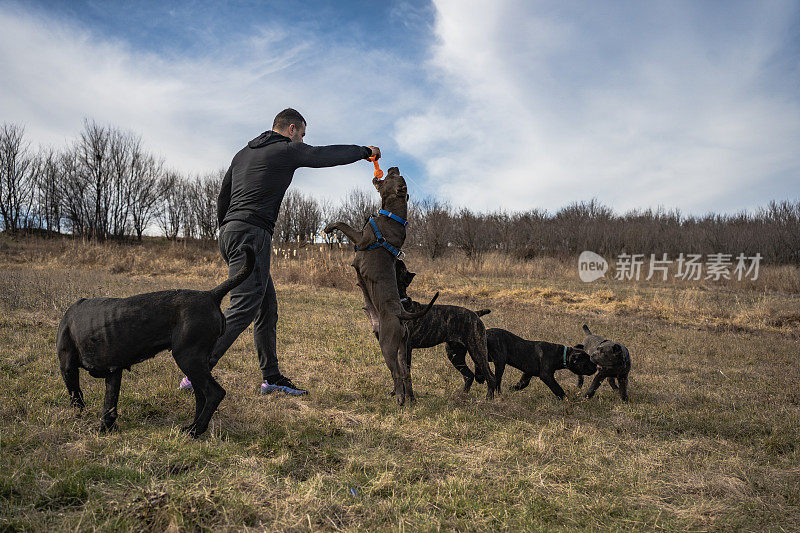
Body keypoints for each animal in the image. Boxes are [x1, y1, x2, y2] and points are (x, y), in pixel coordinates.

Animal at [57, 243, 253, 434]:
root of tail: (210, 295)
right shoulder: (114, 371)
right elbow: (109, 404)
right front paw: (106, 428)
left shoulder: (68, 367)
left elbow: (76, 396)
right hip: (196, 362)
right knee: (201, 396)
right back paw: (193, 427)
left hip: (187, 357)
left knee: (214, 393)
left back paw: (196, 430)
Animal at [324, 166, 450, 404]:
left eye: (393, 177)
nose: (394, 167)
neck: (393, 215)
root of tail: (401, 314)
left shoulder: (361, 239)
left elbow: (343, 224)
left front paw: (329, 226)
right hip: (401, 346)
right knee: (406, 372)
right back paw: (409, 399)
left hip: (387, 345)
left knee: (397, 373)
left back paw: (399, 398)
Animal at [396, 258, 496, 394]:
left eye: (402, 268)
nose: (399, 258)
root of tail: (475, 313)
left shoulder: (407, 348)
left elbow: (405, 374)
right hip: (455, 354)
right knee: (469, 375)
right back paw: (462, 396)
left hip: (477, 351)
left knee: (490, 377)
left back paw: (490, 398)